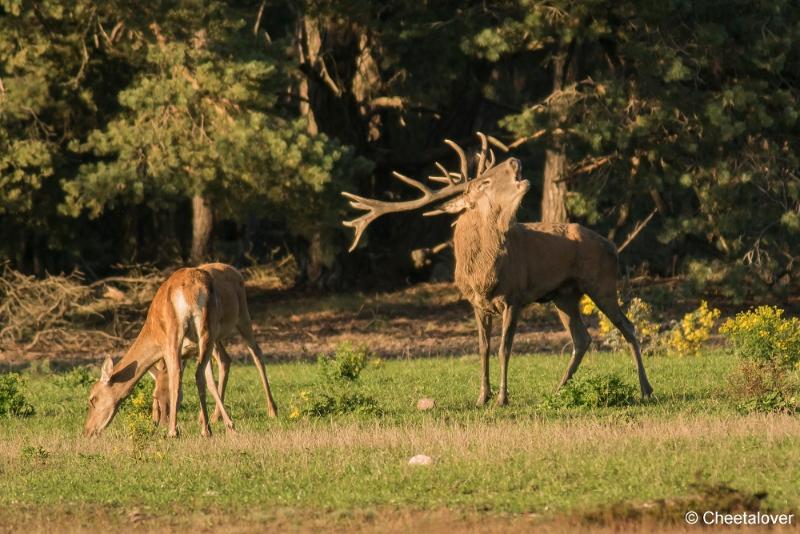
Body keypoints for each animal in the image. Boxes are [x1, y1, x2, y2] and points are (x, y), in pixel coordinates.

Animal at [84, 264, 278, 440]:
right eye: (154, 396)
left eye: (92, 398)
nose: (88, 430)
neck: (152, 334)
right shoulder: (194, 350)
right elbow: (210, 381)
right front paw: (228, 425)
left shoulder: (169, 345)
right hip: (209, 330)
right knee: (214, 366)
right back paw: (208, 426)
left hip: (220, 322)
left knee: (256, 353)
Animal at [340, 134, 652, 406]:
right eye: (485, 181)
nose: (514, 159)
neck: (482, 275)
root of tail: (612, 246)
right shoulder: (475, 303)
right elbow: (483, 348)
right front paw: (482, 397)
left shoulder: (514, 297)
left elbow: (505, 347)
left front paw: (502, 398)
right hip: (563, 295)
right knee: (582, 338)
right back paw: (559, 390)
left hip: (602, 283)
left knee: (627, 326)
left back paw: (645, 389)